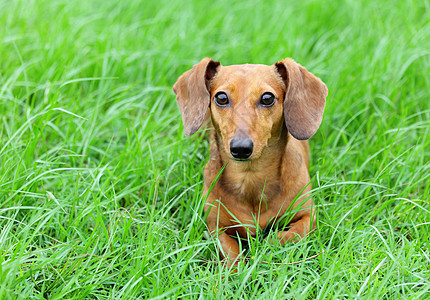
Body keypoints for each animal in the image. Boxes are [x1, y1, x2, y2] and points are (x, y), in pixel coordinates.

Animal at [173, 58, 328, 268]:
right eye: (221, 97)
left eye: (267, 98)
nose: (240, 148)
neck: (250, 177)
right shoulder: (215, 226)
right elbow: (231, 253)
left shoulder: (308, 216)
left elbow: (285, 236)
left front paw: (265, 249)